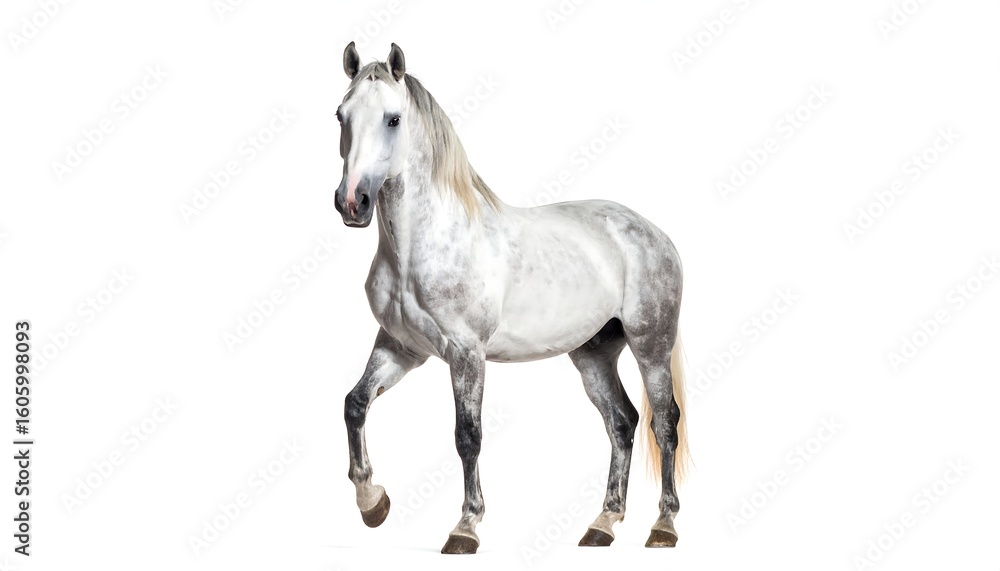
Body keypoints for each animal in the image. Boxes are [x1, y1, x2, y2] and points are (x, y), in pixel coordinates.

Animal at [335, 42, 688, 554]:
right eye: (341, 115)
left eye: (393, 119)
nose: (352, 202)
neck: (422, 245)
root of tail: (654, 233)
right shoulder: (400, 347)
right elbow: (355, 404)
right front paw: (372, 503)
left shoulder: (466, 354)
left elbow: (468, 436)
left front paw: (465, 527)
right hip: (594, 354)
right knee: (622, 423)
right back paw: (602, 525)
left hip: (651, 347)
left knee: (664, 423)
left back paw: (664, 526)